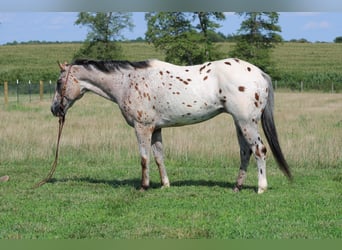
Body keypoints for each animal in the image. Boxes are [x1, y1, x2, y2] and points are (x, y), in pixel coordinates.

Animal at [50, 57, 292, 192]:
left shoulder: (142, 127)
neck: (127, 81)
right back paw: (237, 187)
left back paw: (261, 188)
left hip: (246, 122)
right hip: (239, 123)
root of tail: (259, 73)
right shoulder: (156, 128)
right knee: (245, 152)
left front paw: (144, 187)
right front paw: (165, 185)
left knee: (259, 150)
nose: (54, 109)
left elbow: (144, 158)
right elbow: (159, 157)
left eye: (59, 82)